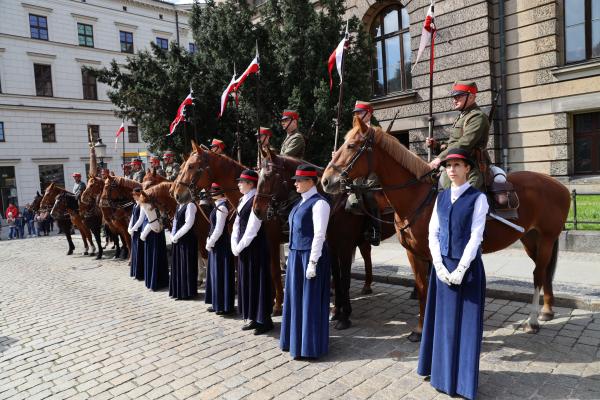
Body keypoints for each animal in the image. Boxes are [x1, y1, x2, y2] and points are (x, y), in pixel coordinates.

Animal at [171, 141, 286, 316]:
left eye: (190, 166)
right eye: (182, 167)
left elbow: (274, 270)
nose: (176, 194)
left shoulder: (271, 240)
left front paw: (277, 304)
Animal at [253, 147, 398, 328]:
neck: (333, 204)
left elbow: (344, 279)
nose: (257, 210)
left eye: (269, 176)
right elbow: (336, 275)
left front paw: (345, 316)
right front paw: (336, 312)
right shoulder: (332, 246)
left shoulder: (344, 246)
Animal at [324, 116, 572, 340]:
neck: (418, 197)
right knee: (544, 272)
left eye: (351, 145)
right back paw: (547, 310)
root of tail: (558, 184)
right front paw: (420, 330)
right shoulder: (414, 254)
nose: (327, 180)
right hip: (531, 239)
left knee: (539, 274)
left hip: (547, 238)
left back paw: (532, 321)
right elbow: (422, 288)